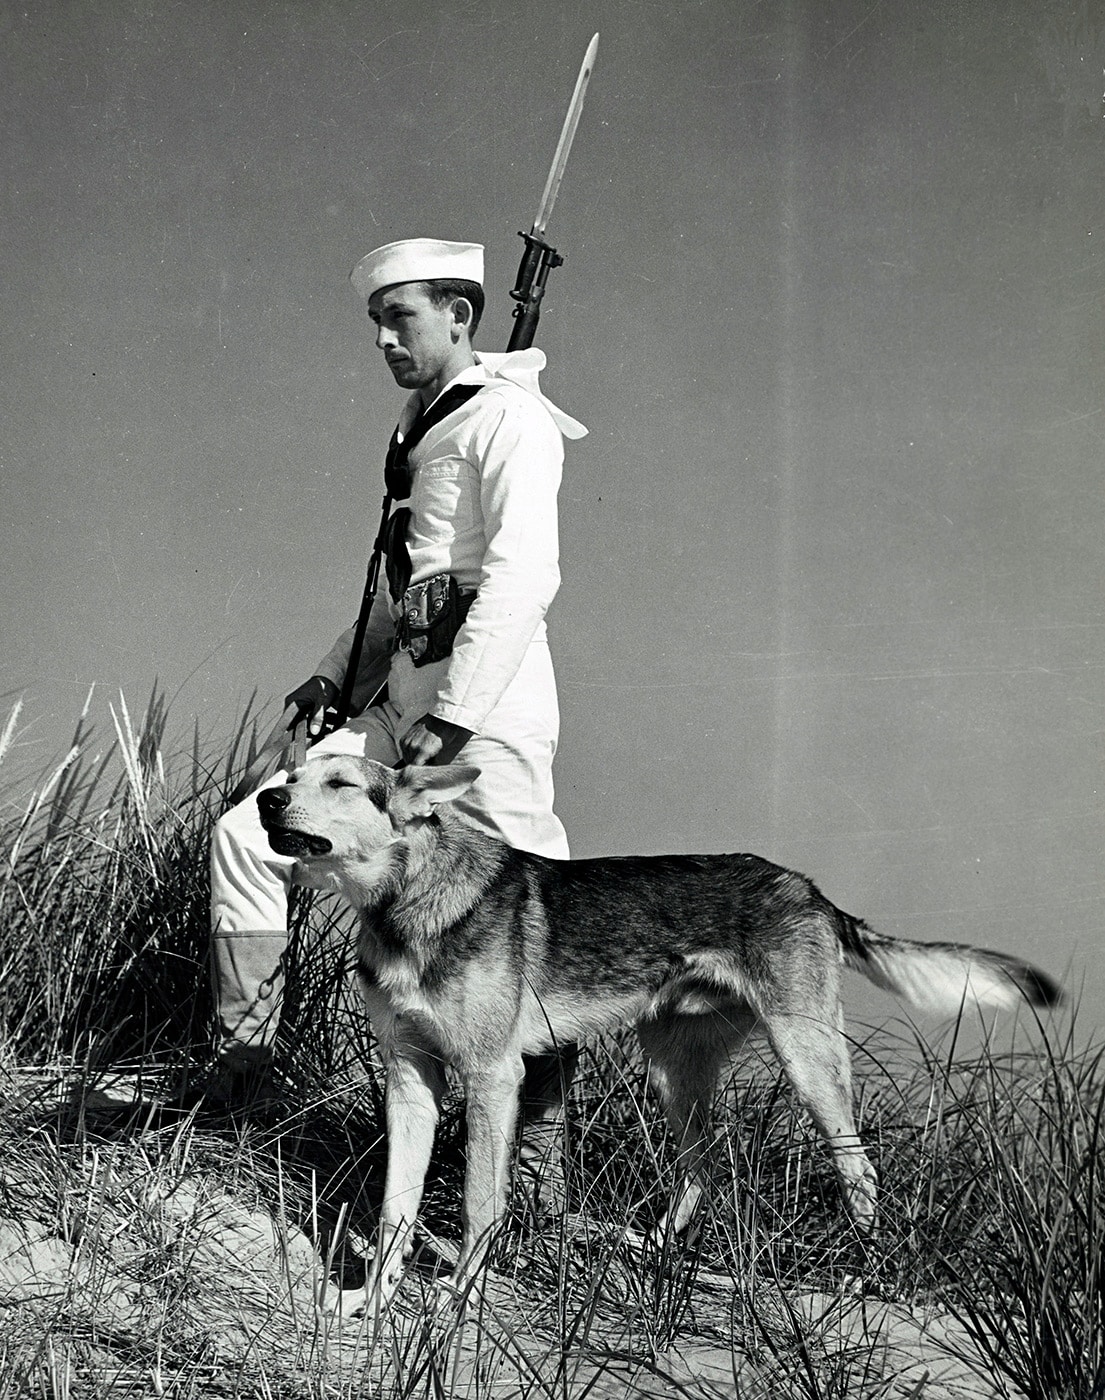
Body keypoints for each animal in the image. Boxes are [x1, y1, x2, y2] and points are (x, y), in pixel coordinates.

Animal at [256, 756, 1058, 1310]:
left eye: (339, 783)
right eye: (292, 776)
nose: (266, 797)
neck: (408, 902)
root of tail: (807, 888)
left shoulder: (491, 1077)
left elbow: (481, 1207)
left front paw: (460, 1303)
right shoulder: (410, 1081)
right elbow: (396, 1209)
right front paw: (367, 1302)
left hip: (809, 1067)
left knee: (859, 1176)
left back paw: (865, 1275)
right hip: (674, 1074)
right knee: (704, 1168)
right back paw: (654, 1253)